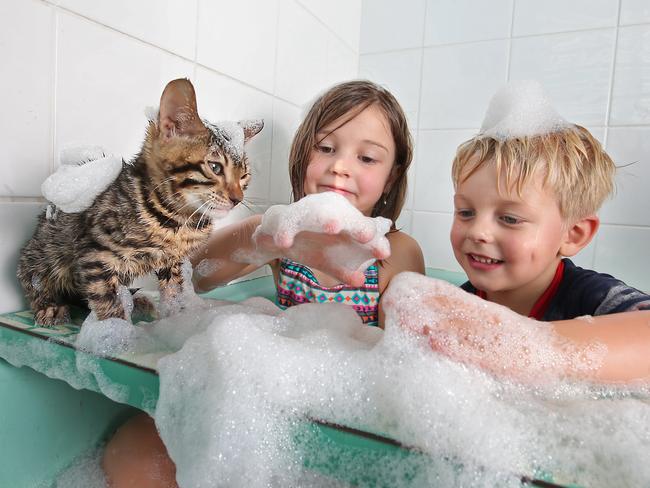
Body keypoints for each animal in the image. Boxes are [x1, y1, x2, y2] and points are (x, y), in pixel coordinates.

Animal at [18, 78, 260, 326]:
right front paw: (117, 332)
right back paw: (50, 306)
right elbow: (108, 303)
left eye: (244, 176)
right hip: (44, 254)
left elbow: (173, 292)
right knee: (33, 276)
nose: (237, 199)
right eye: (215, 167)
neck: (177, 218)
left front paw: (177, 320)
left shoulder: (172, 261)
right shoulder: (96, 256)